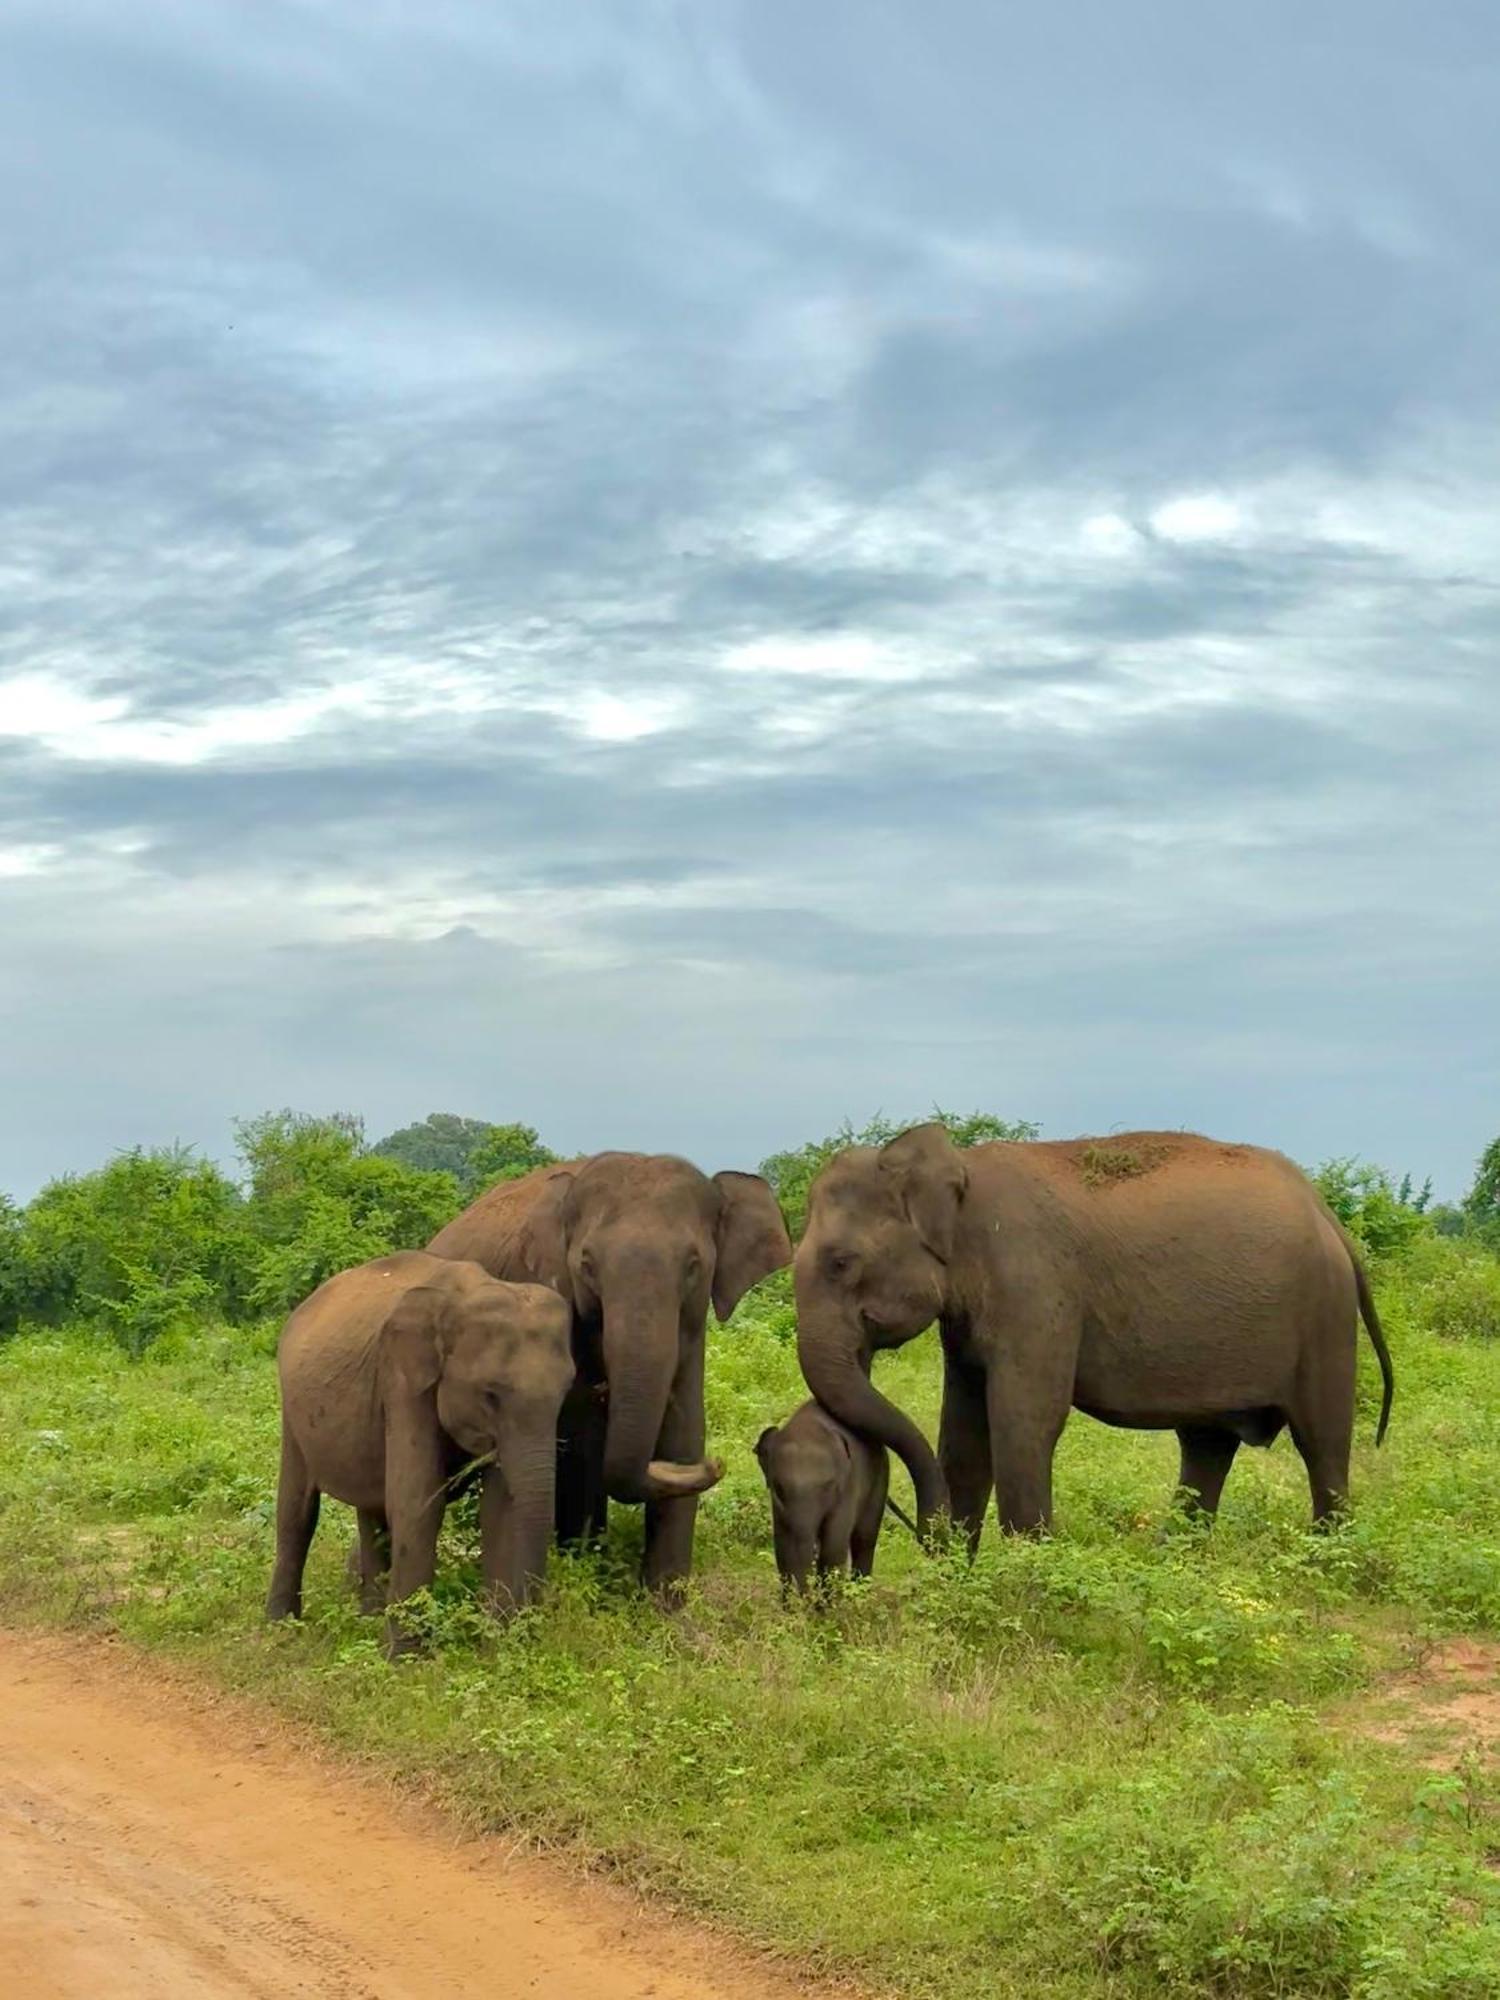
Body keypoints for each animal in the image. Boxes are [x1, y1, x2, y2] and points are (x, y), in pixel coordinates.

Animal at [270, 1248, 576, 1656]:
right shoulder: (401, 1378)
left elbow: (498, 1508)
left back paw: (368, 1616)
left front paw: (495, 1647)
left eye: (566, 1391)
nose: (529, 1630)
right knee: (298, 1509)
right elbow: (417, 1500)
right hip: (292, 1407)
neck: (466, 1296)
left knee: (372, 1510)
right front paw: (404, 1656)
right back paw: (280, 1626)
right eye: (490, 1394)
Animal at [428, 1152, 792, 1600]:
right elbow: (581, 1444)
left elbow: (686, 1427)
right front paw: (587, 1573)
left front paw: (664, 1604)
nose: (717, 1464)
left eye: (693, 1265)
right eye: (587, 1265)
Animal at [756, 1408, 900, 1592]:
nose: (805, 1596)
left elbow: (834, 1547)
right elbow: (781, 1547)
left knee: (864, 1539)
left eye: (828, 1486)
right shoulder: (778, 1506)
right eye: (779, 1487)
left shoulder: (848, 1485)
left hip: (880, 1475)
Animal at [800, 1136, 1400, 1536]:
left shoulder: (1035, 1286)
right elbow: (964, 1433)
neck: (960, 1169)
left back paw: (1327, 1561)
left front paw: (1025, 1587)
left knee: (1321, 1443)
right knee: (1206, 1446)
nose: (926, 1532)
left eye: (841, 1262)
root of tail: (1328, 1215)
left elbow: (1023, 1421)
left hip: (1325, 1318)